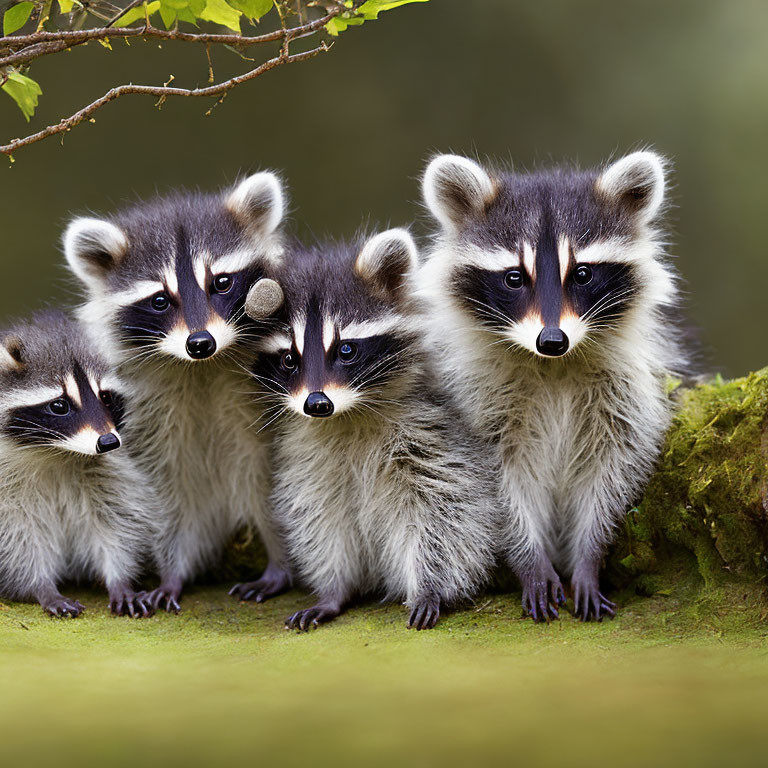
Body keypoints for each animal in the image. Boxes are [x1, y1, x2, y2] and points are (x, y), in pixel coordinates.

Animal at [0, 308, 154, 616]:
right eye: (59, 405)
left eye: (105, 397)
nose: (108, 442)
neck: (55, 452)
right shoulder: (6, 489)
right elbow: (17, 538)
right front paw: (41, 587)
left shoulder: (110, 473)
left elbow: (116, 521)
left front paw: (120, 579)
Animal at [63, 174, 290, 612]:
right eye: (160, 300)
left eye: (221, 282)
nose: (200, 342)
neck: (202, 369)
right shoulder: (150, 420)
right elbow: (169, 497)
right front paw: (173, 571)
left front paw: (282, 560)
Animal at [249, 226, 496, 632]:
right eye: (288, 359)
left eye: (346, 350)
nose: (317, 404)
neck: (347, 415)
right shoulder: (309, 456)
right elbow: (321, 518)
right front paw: (333, 591)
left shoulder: (430, 429)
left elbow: (444, 512)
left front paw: (429, 586)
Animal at [416, 152, 688, 624]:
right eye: (513, 278)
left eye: (582, 274)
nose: (552, 340)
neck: (553, 365)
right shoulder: (477, 398)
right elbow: (495, 484)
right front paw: (528, 559)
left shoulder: (626, 393)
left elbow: (613, 472)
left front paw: (589, 556)